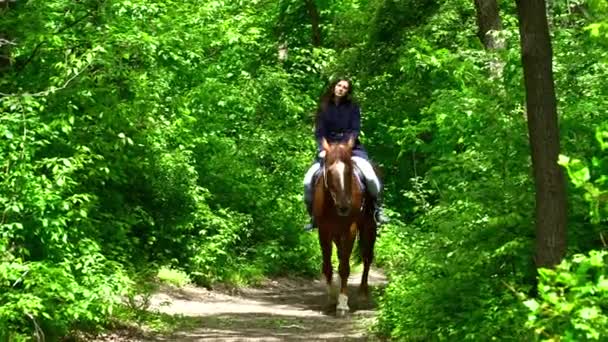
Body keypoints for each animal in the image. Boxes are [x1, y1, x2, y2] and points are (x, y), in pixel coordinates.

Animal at [312, 138, 378, 316]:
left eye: (349, 171)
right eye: (329, 171)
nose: (344, 207)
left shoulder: (350, 230)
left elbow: (344, 268)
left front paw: (342, 304)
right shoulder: (324, 231)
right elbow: (328, 266)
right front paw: (331, 300)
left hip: (369, 226)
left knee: (366, 257)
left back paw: (363, 294)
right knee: (342, 255)